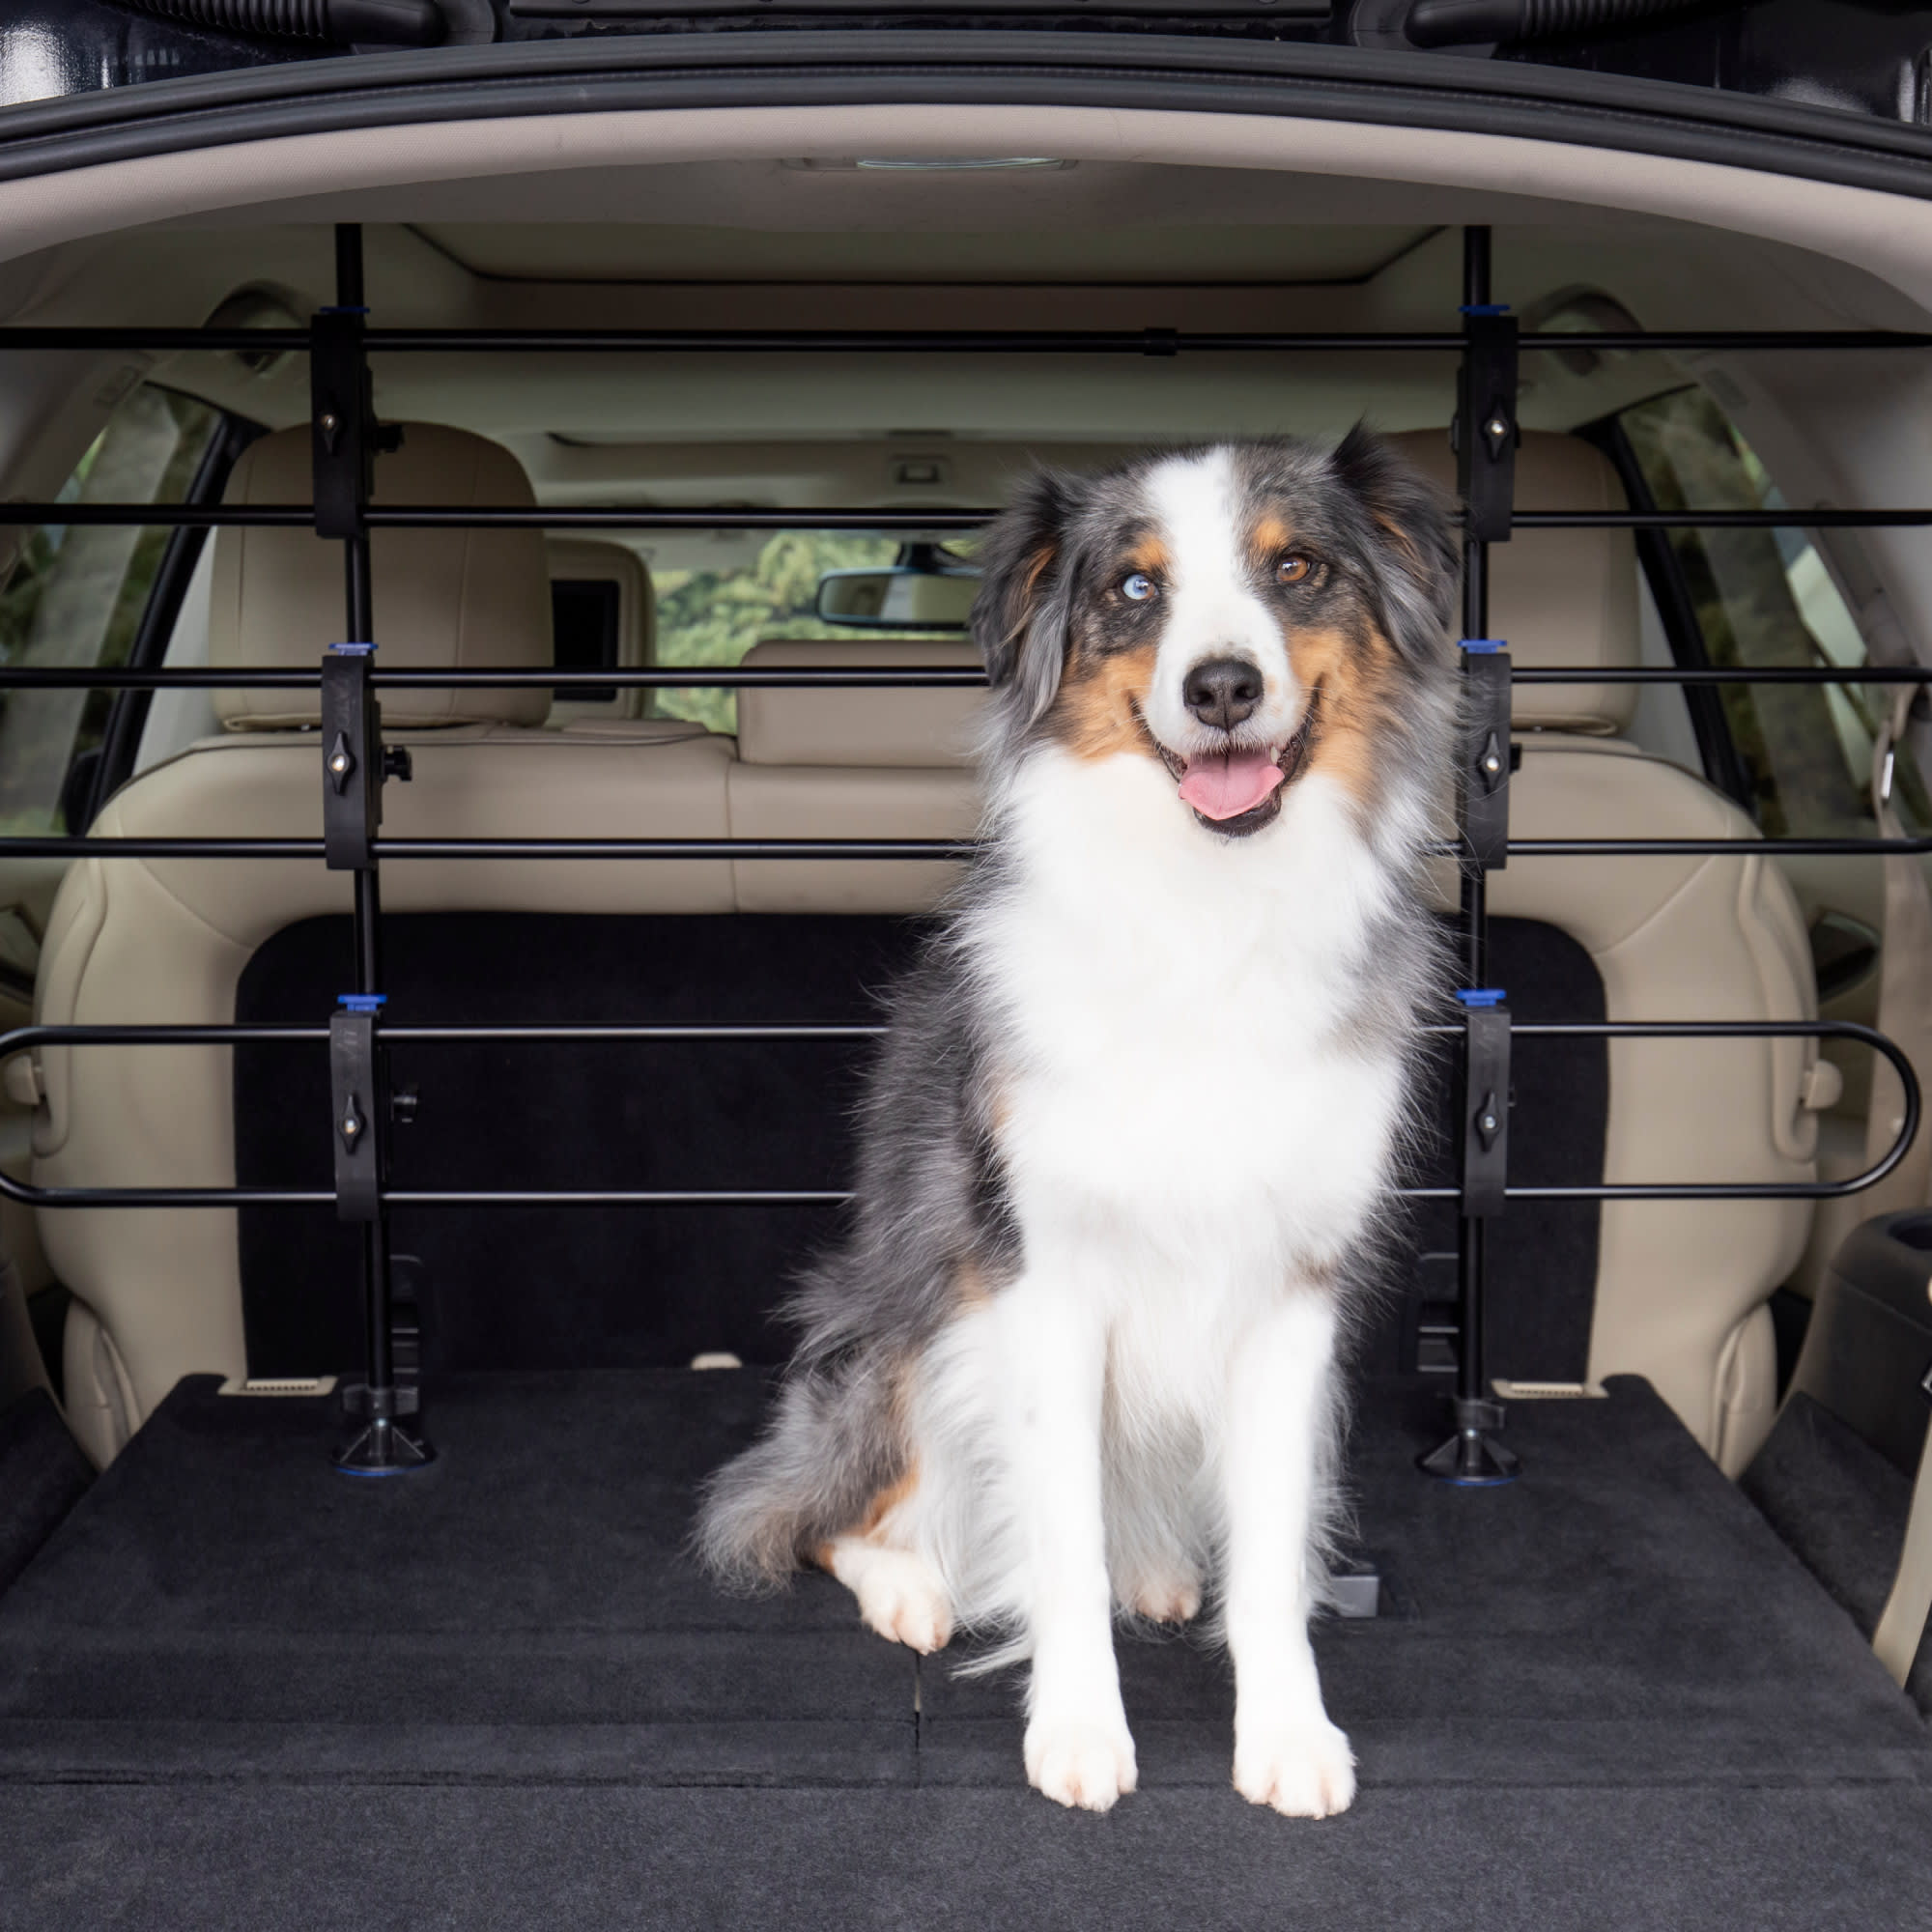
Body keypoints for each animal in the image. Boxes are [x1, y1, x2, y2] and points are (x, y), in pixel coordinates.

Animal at [703, 431, 1453, 1816]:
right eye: (1134, 590)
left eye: (1296, 569)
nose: (1221, 686)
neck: (1210, 914)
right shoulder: (1040, 1279)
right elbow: (1057, 1537)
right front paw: (1079, 1730)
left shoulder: (1291, 1295)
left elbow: (1269, 1555)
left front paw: (1286, 1734)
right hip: (913, 1336)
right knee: (817, 1513)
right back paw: (913, 1585)